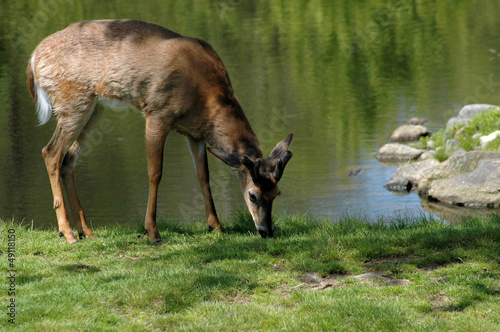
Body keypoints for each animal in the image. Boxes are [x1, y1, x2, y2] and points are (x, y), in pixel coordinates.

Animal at [27, 20, 292, 244]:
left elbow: (203, 175)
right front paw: (152, 232)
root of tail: (34, 57)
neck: (204, 96)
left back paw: (87, 232)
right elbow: (155, 173)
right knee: (50, 152)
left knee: (69, 158)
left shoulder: (194, 133)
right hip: (72, 100)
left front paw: (216, 226)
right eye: (253, 195)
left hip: (94, 107)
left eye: (277, 193)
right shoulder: (157, 113)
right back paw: (68, 233)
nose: (267, 231)